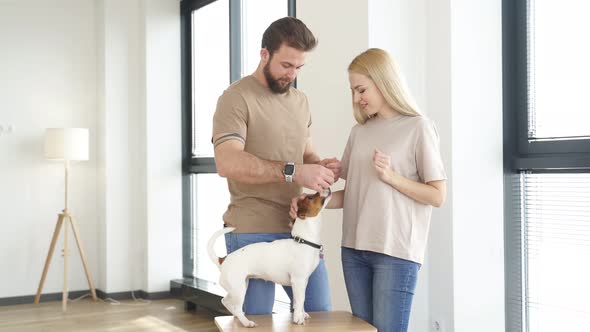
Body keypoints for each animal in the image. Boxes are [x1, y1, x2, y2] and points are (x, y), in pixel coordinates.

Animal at [207, 188, 332, 328]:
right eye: (310, 198)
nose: (327, 188)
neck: (303, 241)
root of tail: (223, 259)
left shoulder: (303, 282)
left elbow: (299, 301)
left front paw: (301, 313)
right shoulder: (298, 280)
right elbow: (300, 301)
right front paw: (297, 318)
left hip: (239, 286)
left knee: (226, 301)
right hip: (239, 290)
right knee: (237, 307)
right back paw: (246, 322)